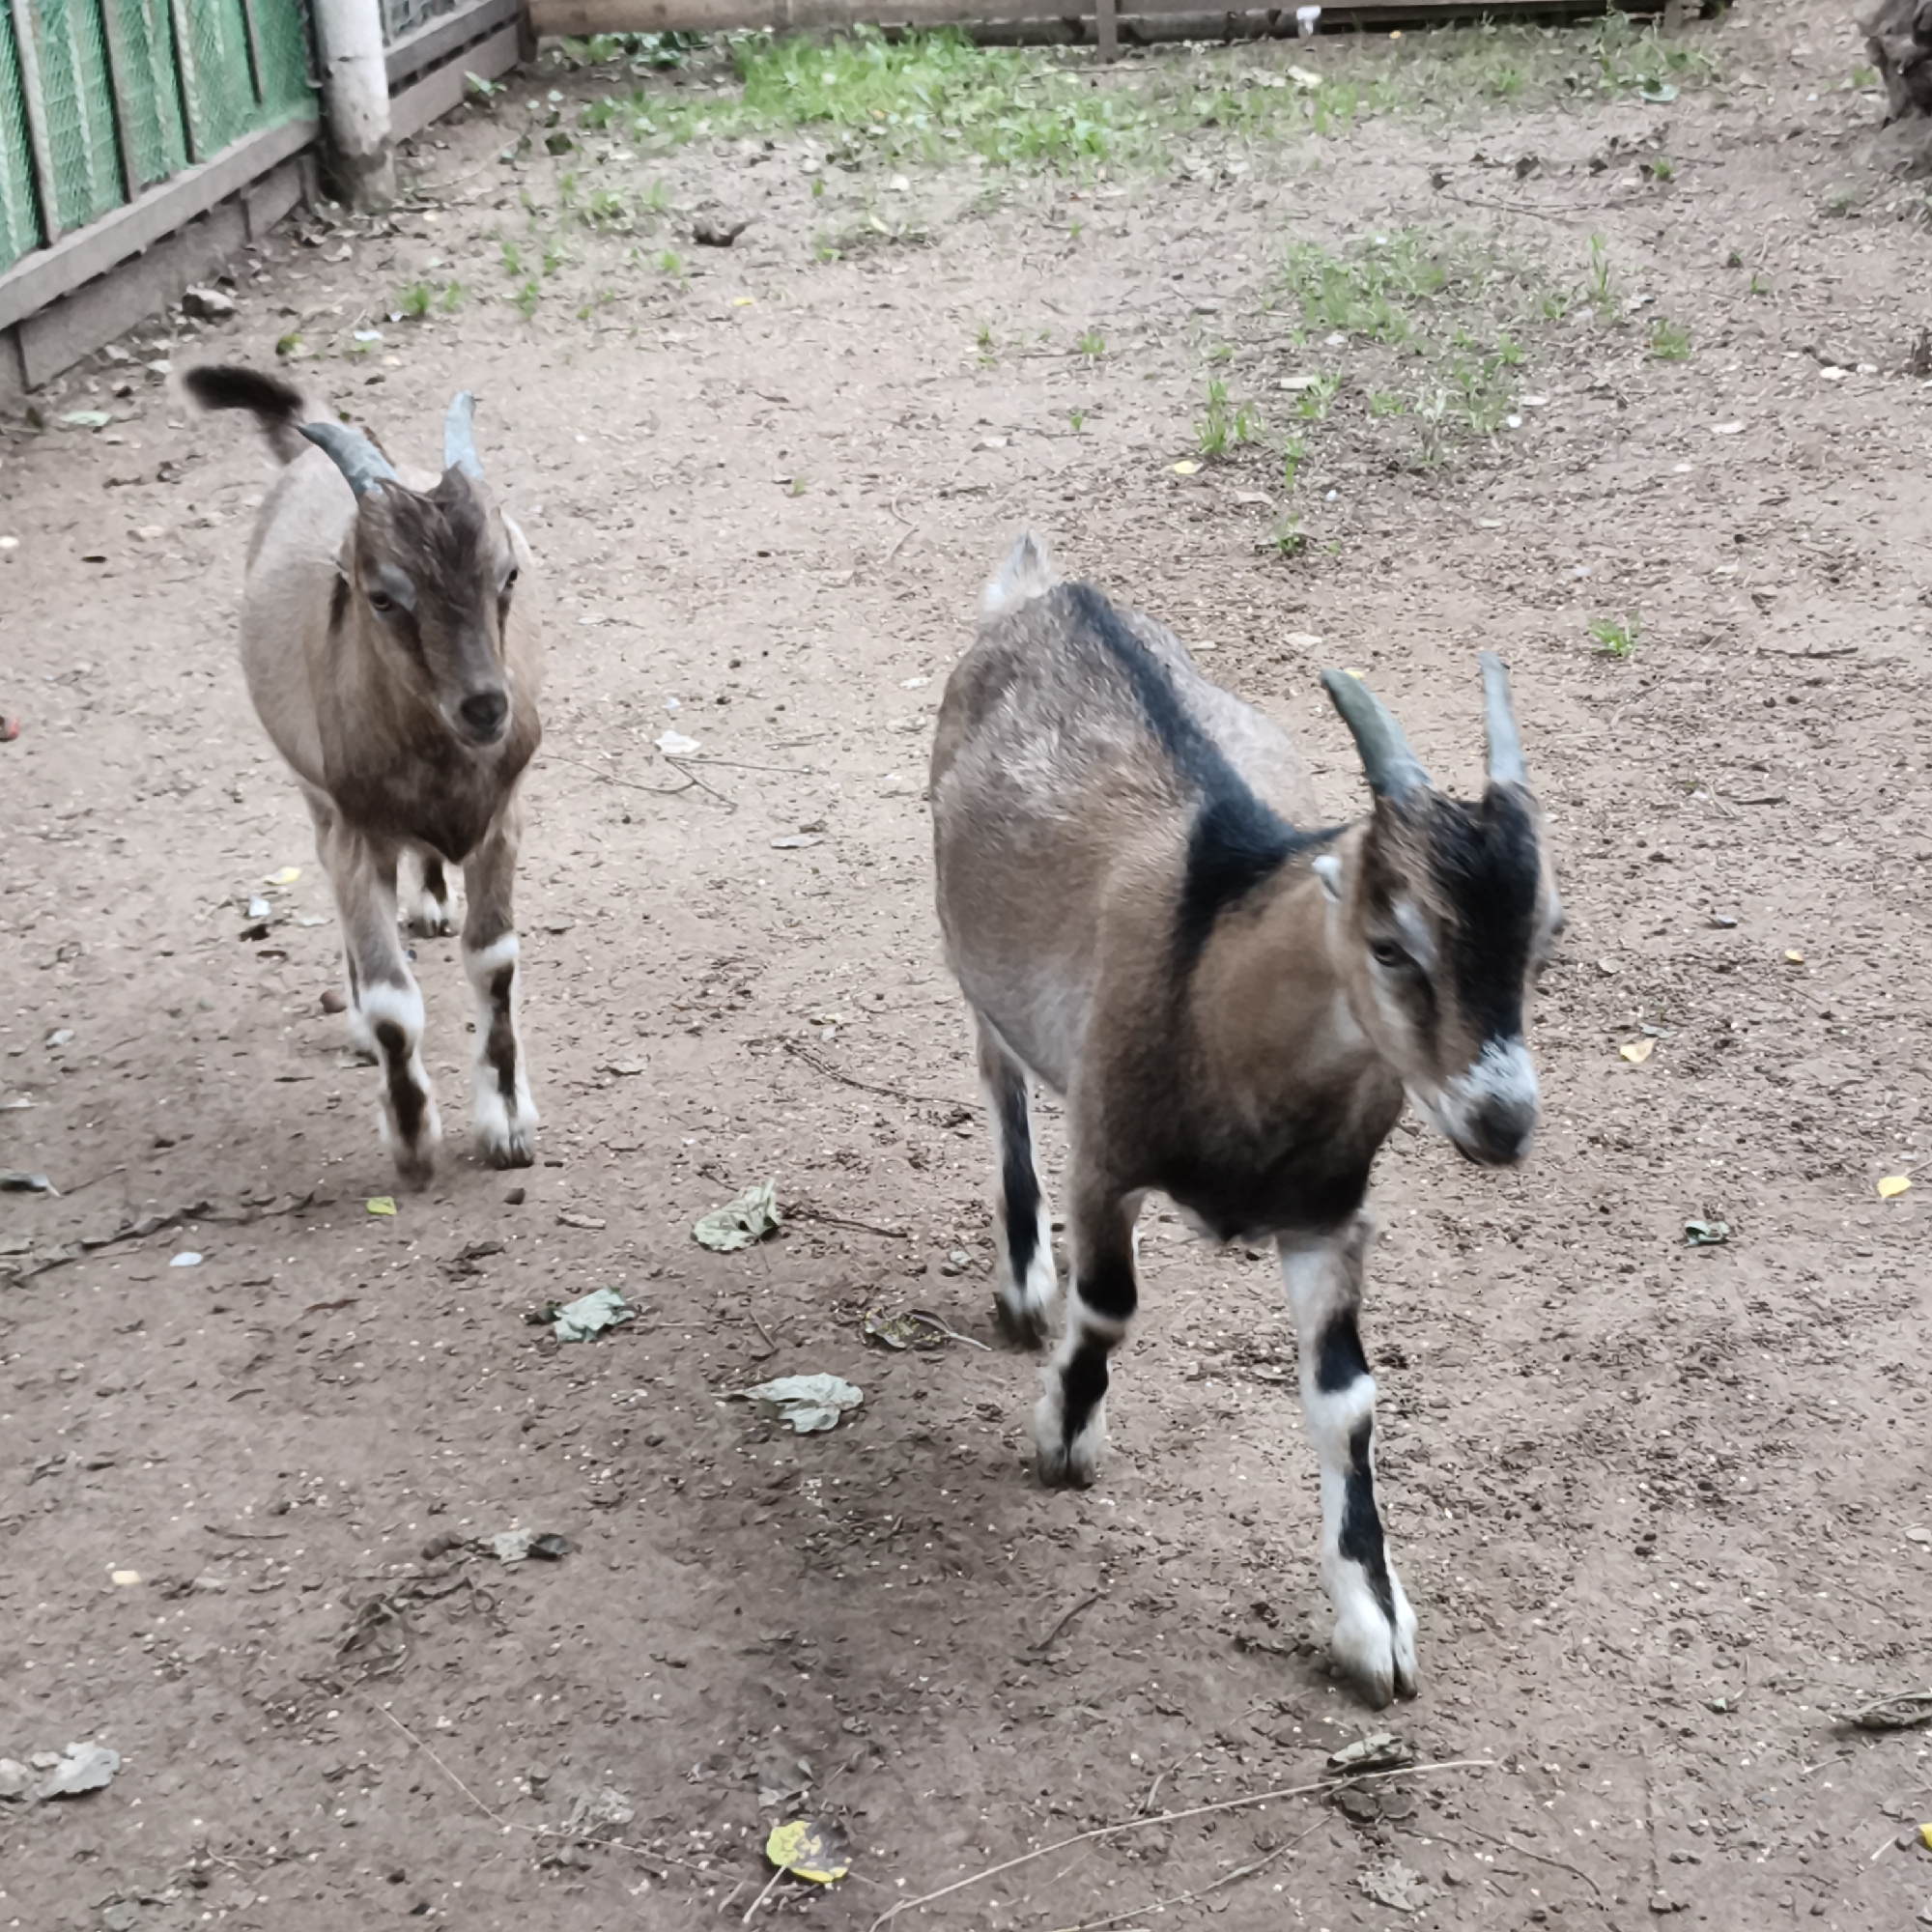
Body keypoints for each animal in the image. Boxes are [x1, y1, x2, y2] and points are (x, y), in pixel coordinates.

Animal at [183, 366, 544, 1186]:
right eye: (383, 596)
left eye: (507, 573)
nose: (485, 706)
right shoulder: (352, 828)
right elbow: (390, 1004)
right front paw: (412, 1139)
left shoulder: (500, 819)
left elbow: (495, 964)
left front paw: (508, 1126)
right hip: (318, 802)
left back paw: (433, 900)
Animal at [929, 533, 1562, 1707]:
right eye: (1390, 944)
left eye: (1545, 936)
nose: (1501, 1119)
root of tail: (1046, 591)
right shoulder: (1106, 1153)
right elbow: (1108, 1307)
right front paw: (1063, 1434)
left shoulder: (1330, 1215)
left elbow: (1346, 1399)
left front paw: (1372, 1624)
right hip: (972, 956)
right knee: (1000, 1081)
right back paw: (1022, 1282)